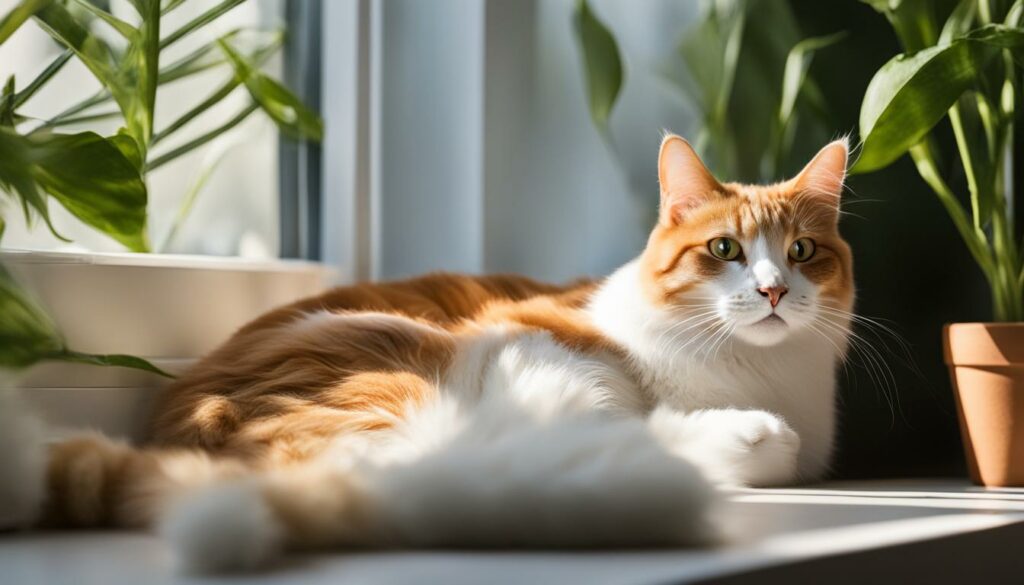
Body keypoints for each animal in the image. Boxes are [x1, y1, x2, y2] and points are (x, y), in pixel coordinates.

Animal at [0, 133, 856, 573]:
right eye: (725, 249)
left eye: (803, 252)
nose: (773, 290)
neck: (744, 370)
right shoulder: (538, 343)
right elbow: (622, 411)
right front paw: (716, 432)